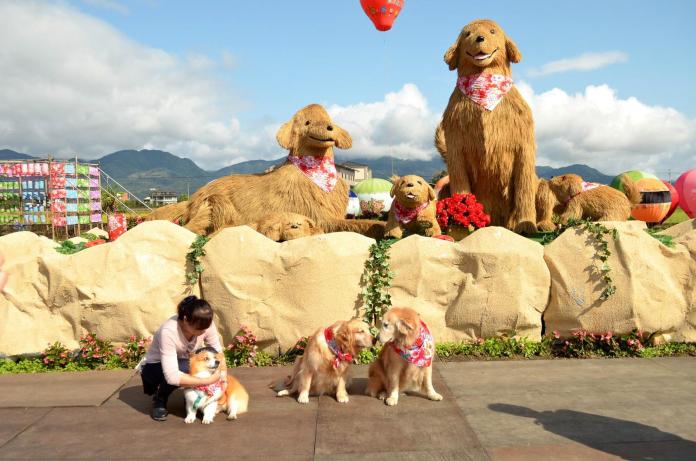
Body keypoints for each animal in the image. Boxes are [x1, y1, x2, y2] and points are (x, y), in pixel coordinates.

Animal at [169, 104, 386, 239]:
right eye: (307, 122)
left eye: (329, 119)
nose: (329, 127)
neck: (315, 172)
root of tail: (191, 201)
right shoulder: (319, 217)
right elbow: (359, 224)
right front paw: (382, 227)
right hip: (218, 203)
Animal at [440, 18, 540, 234]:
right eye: (467, 34)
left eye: (493, 31)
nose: (479, 38)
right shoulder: (456, 148)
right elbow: (461, 189)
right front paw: (461, 223)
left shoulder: (523, 146)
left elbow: (523, 189)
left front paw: (526, 224)